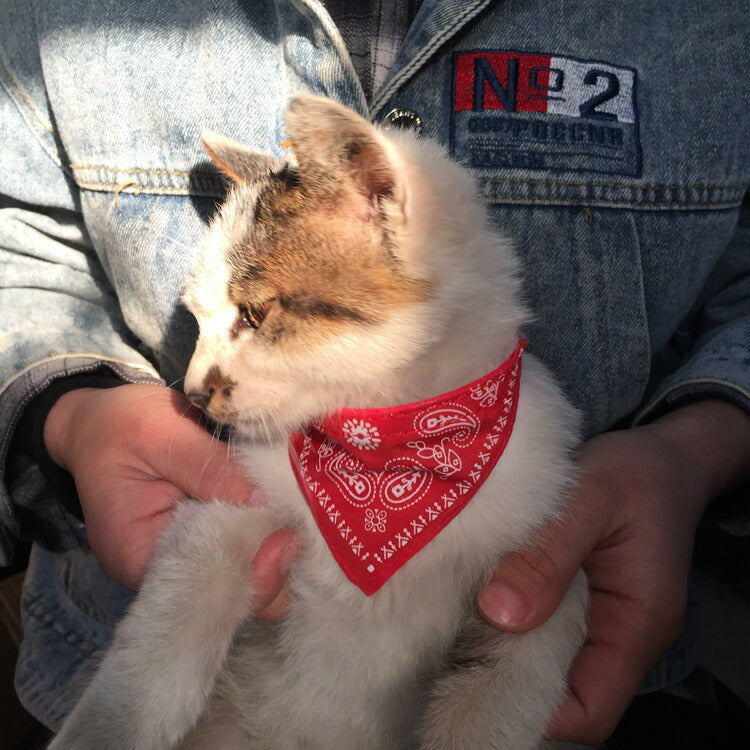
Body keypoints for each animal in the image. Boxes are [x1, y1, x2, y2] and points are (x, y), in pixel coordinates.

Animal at [51, 97, 592, 748]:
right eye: (197, 318)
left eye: (254, 314)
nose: (193, 392)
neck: (387, 449)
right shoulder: (229, 511)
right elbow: (167, 620)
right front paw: (107, 724)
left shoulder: (537, 565)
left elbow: (510, 682)